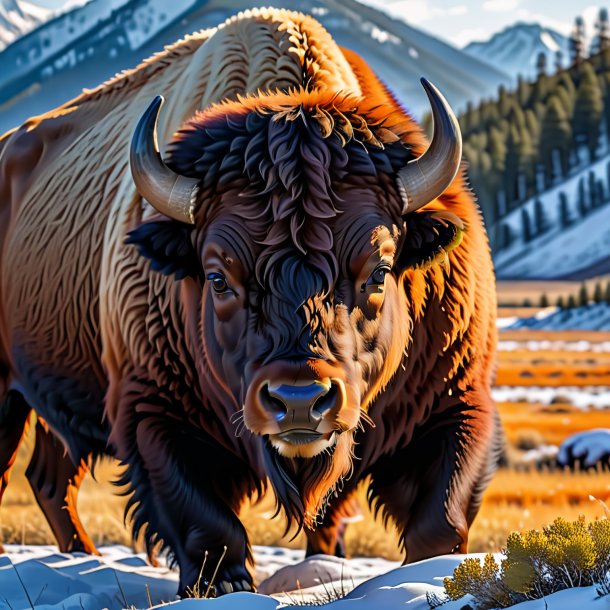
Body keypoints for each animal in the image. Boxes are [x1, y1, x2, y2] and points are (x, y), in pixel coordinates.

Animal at [0, 7, 498, 596]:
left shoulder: (453, 402)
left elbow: (437, 524)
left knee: (50, 480)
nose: (300, 401)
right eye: (218, 278)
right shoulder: (153, 414)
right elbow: (212, 533)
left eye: (378, 271)